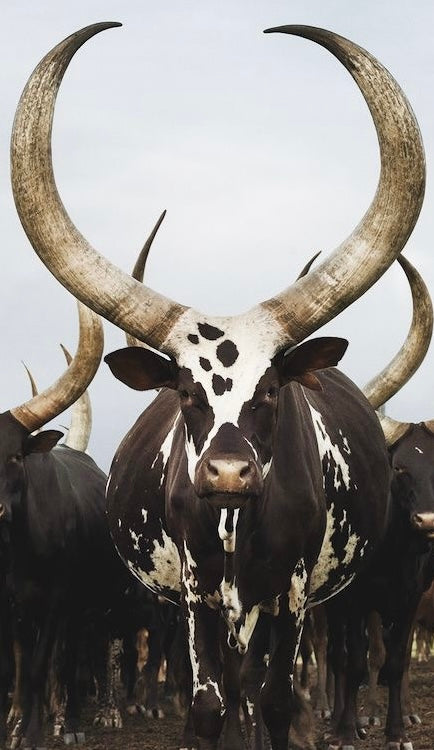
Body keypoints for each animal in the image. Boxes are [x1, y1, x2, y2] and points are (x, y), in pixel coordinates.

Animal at [10, 21, 425, 750]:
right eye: (184, 391)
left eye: (274, 390)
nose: (229, 474)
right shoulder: (196, 596)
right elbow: (208, 703)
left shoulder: (293, 596)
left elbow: (279, 698)